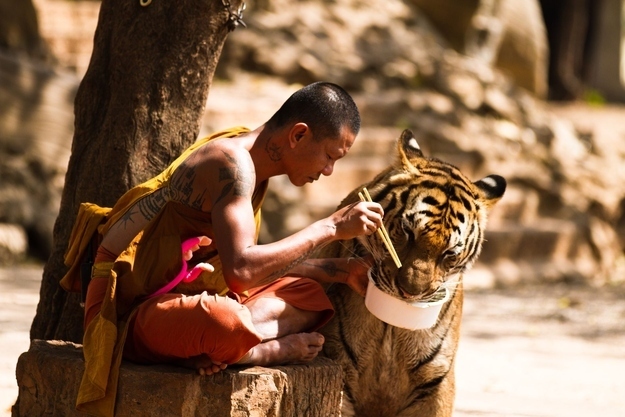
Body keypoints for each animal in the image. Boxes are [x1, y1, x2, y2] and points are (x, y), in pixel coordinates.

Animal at [316, 128, 508, 414]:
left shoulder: (435, 381)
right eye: (408, 232)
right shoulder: (340, 366)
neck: (391, 327)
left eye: (449, 253)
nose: (410, 293)